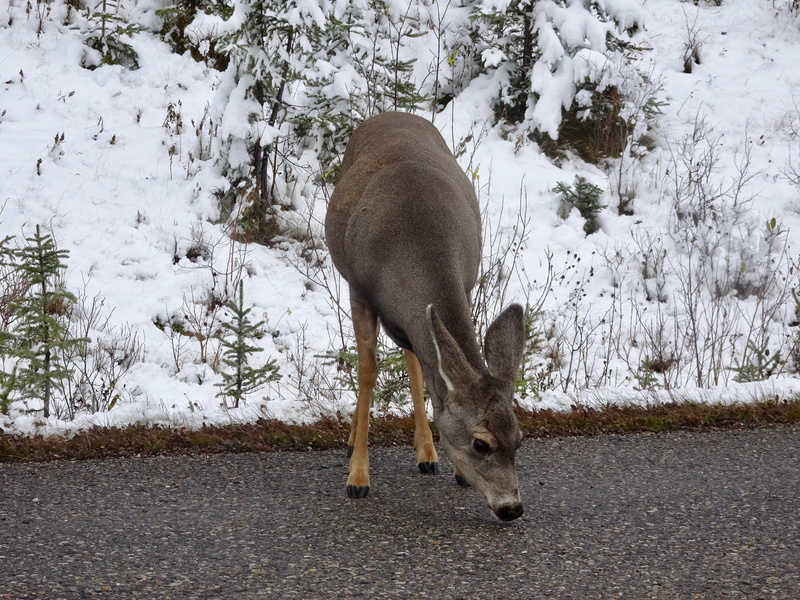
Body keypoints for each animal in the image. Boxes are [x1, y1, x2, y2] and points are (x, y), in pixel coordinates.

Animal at [324, 111, 526, 522]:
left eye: (520, 439)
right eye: (481, 444)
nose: (512, 508)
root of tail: (391, 113)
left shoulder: (464, 283)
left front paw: (451, 466)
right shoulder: (359, 290)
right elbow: (367, 370)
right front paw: (358, 477)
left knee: (415, 359)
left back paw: (427, 454)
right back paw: (355, 443)